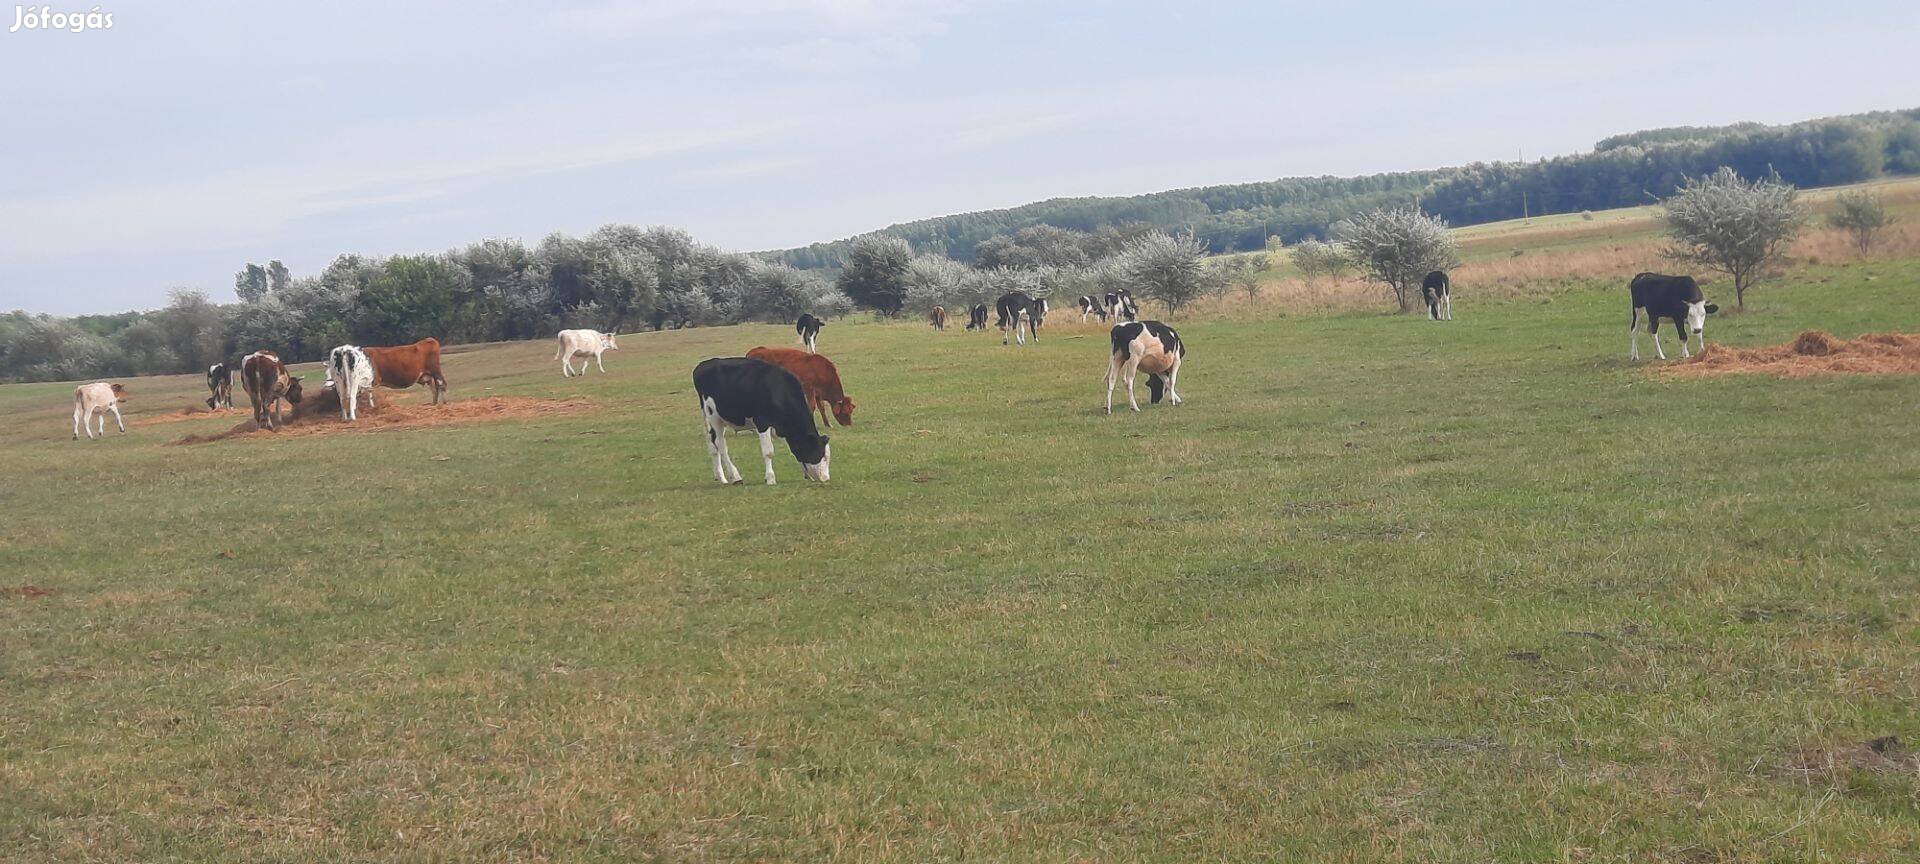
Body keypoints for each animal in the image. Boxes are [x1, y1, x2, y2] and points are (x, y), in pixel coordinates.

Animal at [698, 355, 833, 481]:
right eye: (820, 454)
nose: (826, 478)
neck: (778, 390)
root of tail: (703, 365)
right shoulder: (762, 423)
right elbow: (768, 452)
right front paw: (770, 478)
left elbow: (796, 450)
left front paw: (807, 475)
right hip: (714, 417)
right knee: (720, 445)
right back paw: (735, 476)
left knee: (712, 443)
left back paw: (720, 476)